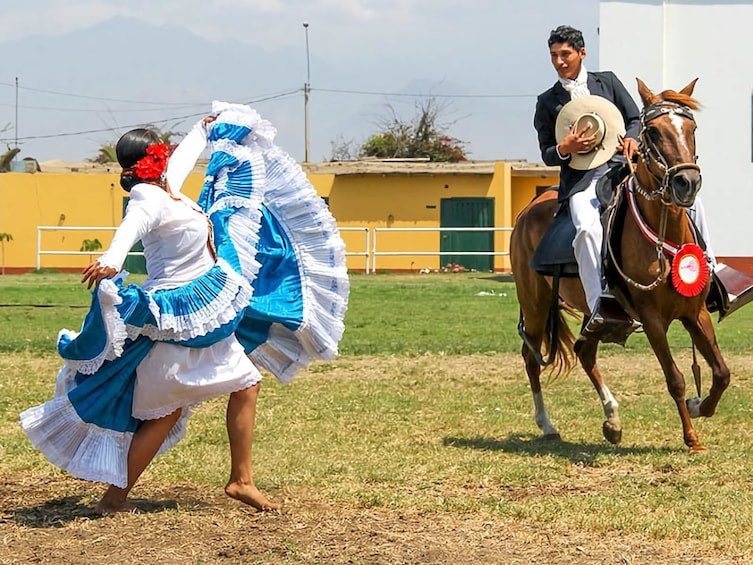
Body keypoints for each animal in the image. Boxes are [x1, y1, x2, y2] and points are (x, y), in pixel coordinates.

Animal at [512, 78, 728, 454]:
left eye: (692, 128)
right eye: (653, 132)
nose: (687, 183)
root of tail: (528, 210)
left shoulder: (695, 313)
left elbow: (721, 373)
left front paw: (699, 407)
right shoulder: (653, 319)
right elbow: (675, 379)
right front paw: (691, 436)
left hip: (592, 313)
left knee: (584, 353)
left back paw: (612, 420)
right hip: (535, 305)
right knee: (531, 357)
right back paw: (547, 424)